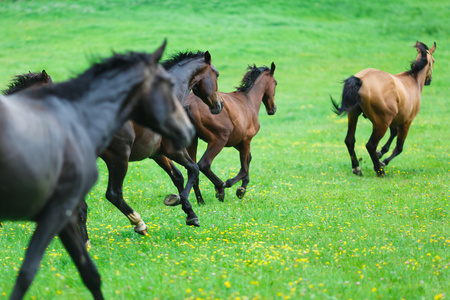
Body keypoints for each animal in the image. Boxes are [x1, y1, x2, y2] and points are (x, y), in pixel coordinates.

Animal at [79, 49, 223, 246]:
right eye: (216, 74)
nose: (219, 105)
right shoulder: (175, 150)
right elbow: (193, 169)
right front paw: (181, 205)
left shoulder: (157, 154)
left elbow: (177, 176)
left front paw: (189, 211)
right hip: (118, 158)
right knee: (113, 194)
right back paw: (140, 224)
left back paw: (85, 241)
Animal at [185, 63, 278, 204]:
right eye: (276, 83)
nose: (273, 109)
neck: (248, 101)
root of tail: (189, 105)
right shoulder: (246, 140)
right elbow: (244, 168)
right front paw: (235, 187)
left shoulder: (236, 141)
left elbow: (248, 160)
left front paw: (241, 189)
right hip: (218, 140)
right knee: (203, 164)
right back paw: (220, 188)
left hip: (193, 141)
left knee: (193, 169)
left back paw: (201, 202)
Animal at [330, 39, 436, 176]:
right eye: (433, 61)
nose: (429, 80)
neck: (413, 80)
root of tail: (361, 79)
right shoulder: (406, 122)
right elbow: (399, 147)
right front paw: (383, 162)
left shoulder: (395, 120)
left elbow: (393, 135)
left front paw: (380, 154)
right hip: (382, 123)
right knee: (370, 145)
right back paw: (379, 171)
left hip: (354, 114)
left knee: (349, 140)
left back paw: (357, 168)